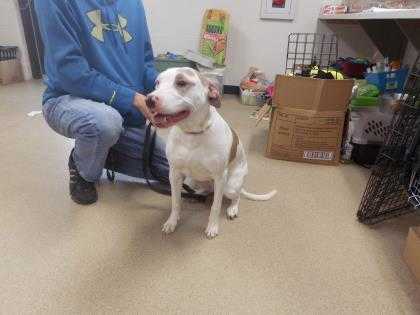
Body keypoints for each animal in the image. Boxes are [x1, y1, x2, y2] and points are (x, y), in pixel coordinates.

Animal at [146, 67, 278, 239]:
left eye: (181, 82)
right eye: (157, 83)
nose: (149, 100)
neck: (193, 133)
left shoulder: (220, 177)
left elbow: (216, 206)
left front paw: (212, 227)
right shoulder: (174, 174)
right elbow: (175, 201)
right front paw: (172, 222)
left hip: (229, 186)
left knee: (236, 197)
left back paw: (232, 208)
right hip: (190, 181)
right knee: (203, 191)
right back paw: (197, 196)